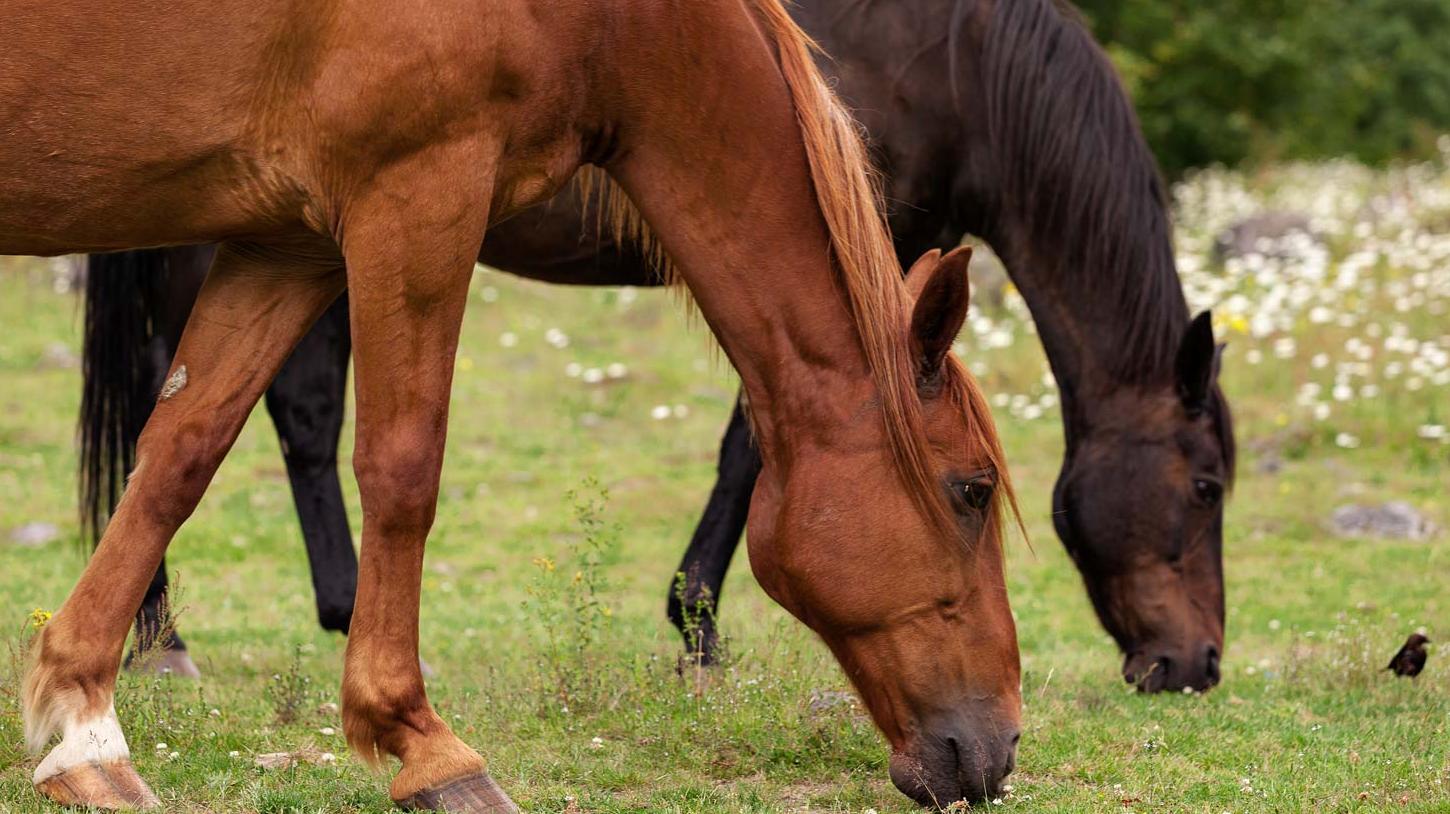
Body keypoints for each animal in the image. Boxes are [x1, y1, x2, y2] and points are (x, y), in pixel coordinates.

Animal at [2, 0, 1020, 806]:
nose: (1001, 747)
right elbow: (404, 467)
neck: (609, 24)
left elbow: (182, 448)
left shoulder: (287, 240)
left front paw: (85, 726)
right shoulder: (420, 193)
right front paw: (421, 741)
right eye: (971, 490)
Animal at [82, 0, 1235, 690]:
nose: (1196, 664)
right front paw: (698, 629)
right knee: (174, 412)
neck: (960, 60)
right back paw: (163, 635)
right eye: (1208, 483)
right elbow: (752, 447)